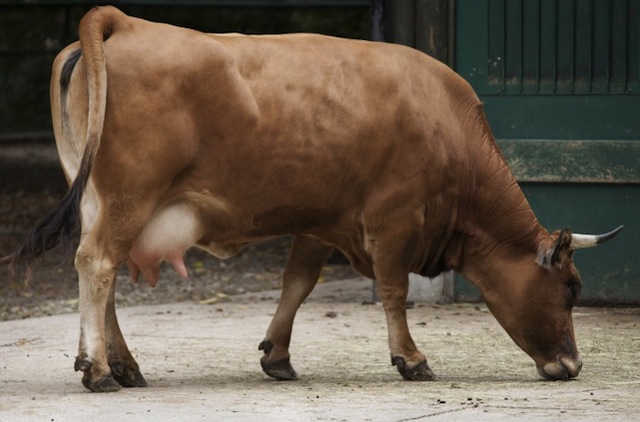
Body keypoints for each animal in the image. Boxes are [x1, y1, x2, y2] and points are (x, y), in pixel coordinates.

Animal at [2, 6, 622, 392]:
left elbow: (297, 283)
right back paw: (99, 369)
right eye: (572, 288)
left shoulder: (325, 219)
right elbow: (394, 291)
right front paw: (411, 357)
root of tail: (124, 22)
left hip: (99, 201)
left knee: (102, 277)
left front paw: (277, 354)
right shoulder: (394, 217)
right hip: (129, 198)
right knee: (96, 265)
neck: (444, 122)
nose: (573, 363)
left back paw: (124, 365)